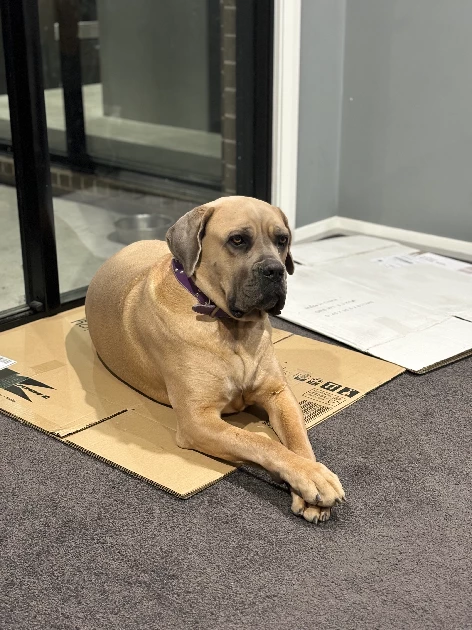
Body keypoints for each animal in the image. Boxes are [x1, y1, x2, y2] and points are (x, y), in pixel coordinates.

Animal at [85, 196, 344, 522]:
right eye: (238, 240)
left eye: (282, 240)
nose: (276, 271)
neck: (232, 327)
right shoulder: (198, 420)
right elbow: (261, 441)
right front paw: (310, 476)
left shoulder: (278, 392)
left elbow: (298, 438)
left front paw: (313, 473)